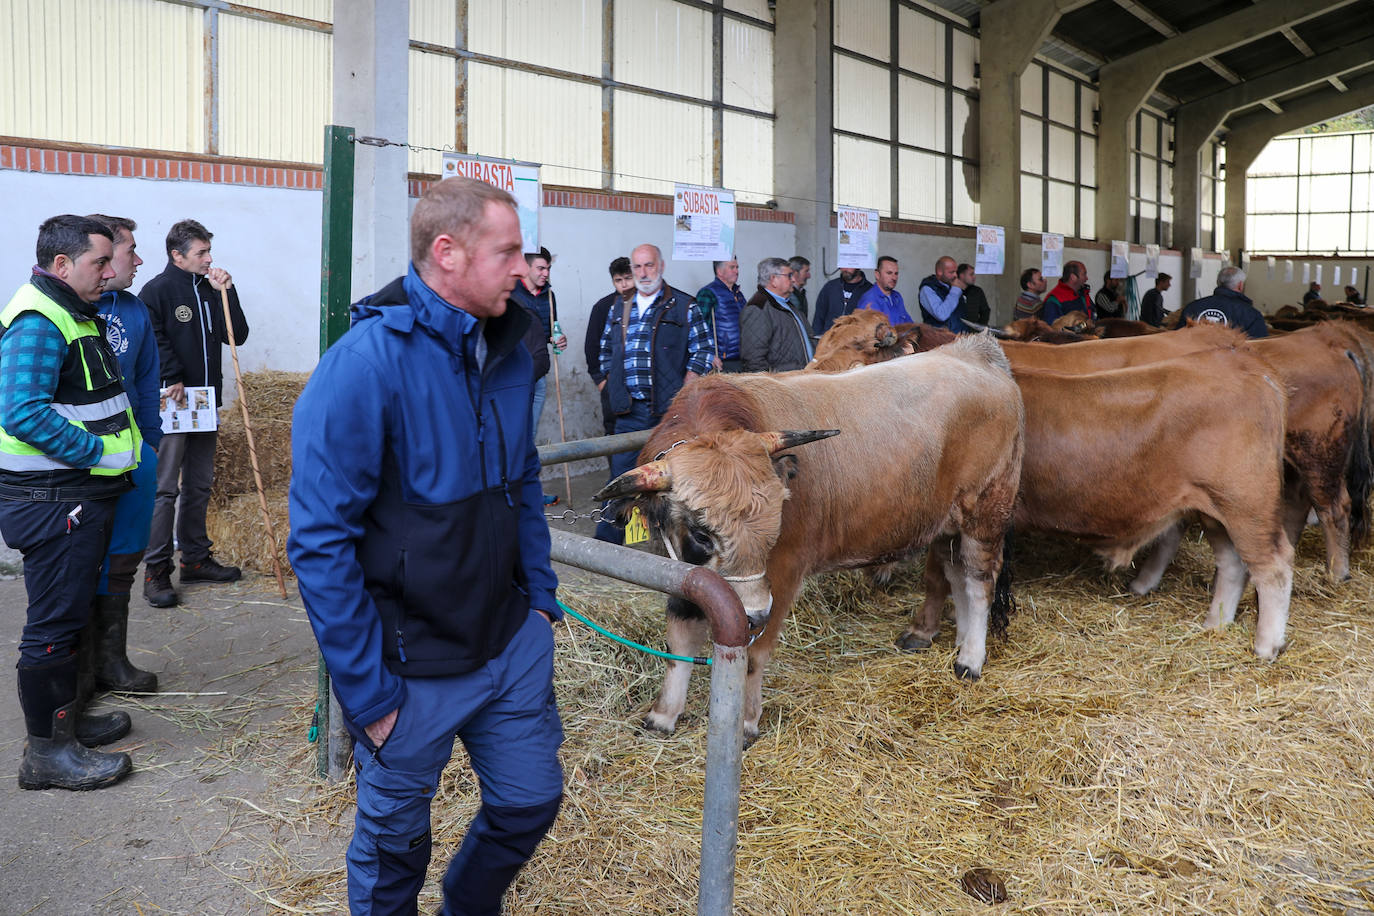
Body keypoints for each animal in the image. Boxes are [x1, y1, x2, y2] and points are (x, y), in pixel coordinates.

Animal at [599, 336, 1022, 747]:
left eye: (776, 523)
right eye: (702, 533)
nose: (752, 615)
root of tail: (977, 351)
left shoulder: (784, 573)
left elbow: (753, 656)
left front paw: (746, 723)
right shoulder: (681, 574)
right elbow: (679, 644)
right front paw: (663, 715)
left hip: (986, 514)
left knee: (979, 584)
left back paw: (971, 659)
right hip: (949, 526)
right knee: (956, 575)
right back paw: (957, 642)